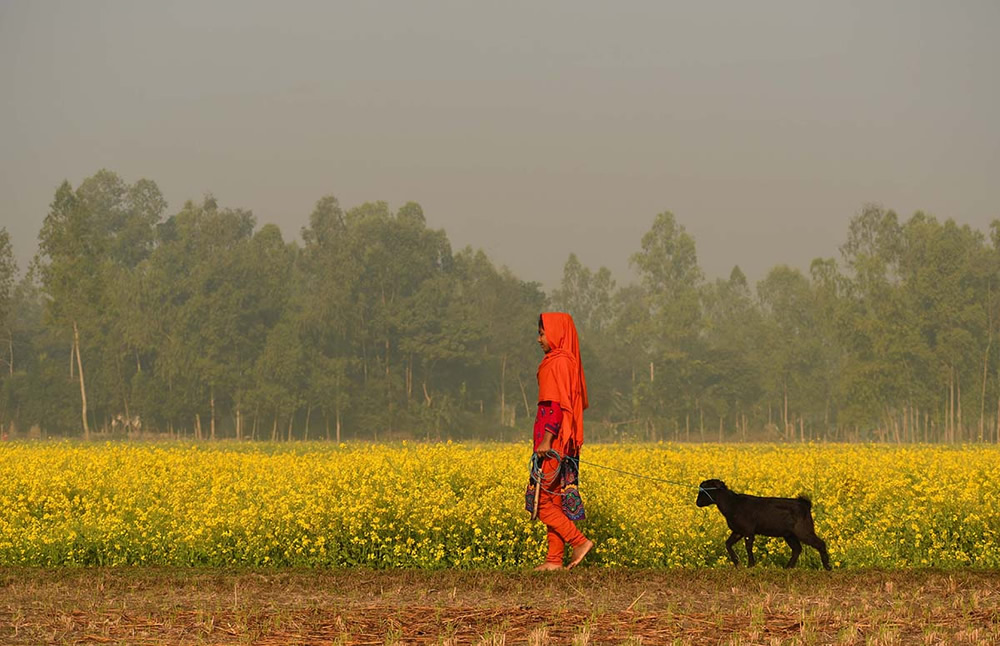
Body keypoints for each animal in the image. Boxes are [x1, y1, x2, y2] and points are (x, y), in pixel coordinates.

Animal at [696, 480, 828, 572]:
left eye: (704, 490)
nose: (697, 503)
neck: (732, 504)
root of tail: (805, 504)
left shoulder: (748, 531)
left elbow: (748, 547)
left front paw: (750, 565)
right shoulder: (738, 531)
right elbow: (728, 544)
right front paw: (738, 564)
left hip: (803, 530)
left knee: (820, 543)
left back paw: (827, 567)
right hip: (789, 534)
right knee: (797, 549)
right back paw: (788, 568)